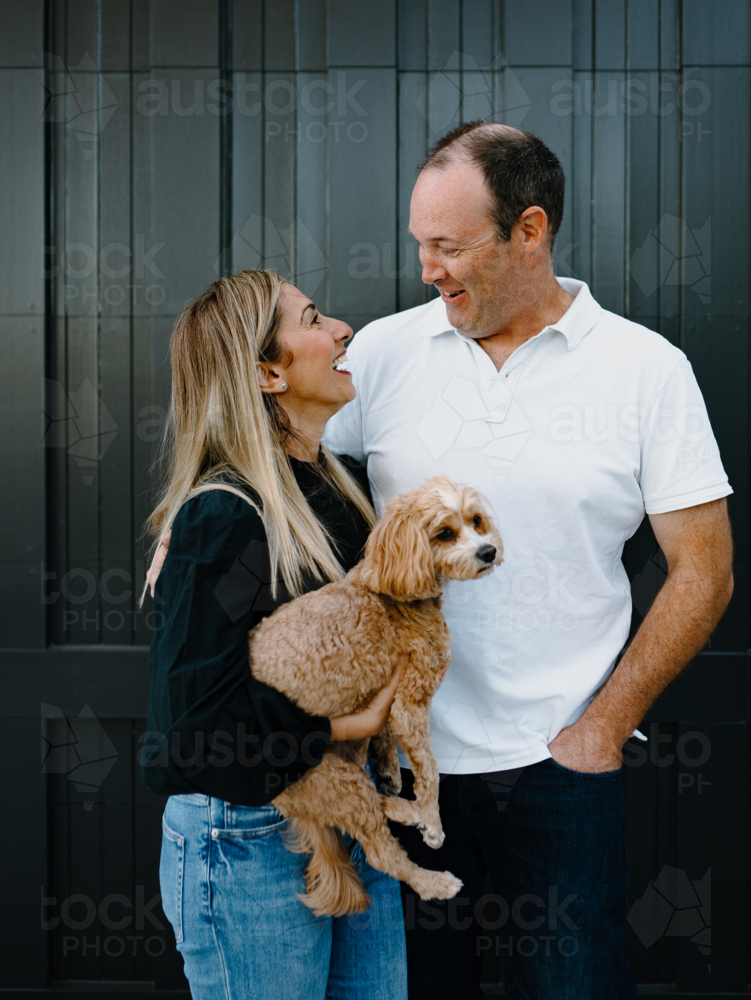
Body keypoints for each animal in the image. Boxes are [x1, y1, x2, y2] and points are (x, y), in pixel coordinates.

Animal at [250, 474, 502, 916]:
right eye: (444, 533)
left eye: (476, 521)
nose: (488, 551)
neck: (389, 590)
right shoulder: (409, 702)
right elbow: (430, 769)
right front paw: (433, 822)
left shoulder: (384, 698)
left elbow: (385, 739)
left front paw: (390, 773)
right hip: (334, 780)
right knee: (380, 852)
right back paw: (431, 878)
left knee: (373, 802)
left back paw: (403, 807)